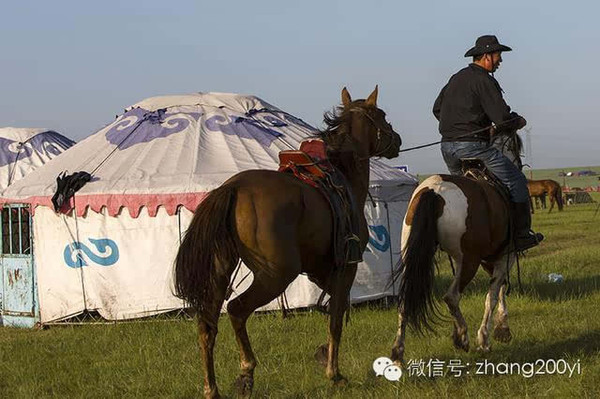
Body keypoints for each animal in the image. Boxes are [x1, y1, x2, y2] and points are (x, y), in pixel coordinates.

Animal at [178, 86, 404, 398]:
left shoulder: (320, 270)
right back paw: (246, 372)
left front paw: (323, 354)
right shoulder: (346, 267)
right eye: (381, 115)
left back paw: (211, 388)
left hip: (221, 270)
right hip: (276, 274)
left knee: (207, 322)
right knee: (236, 309)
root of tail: (232, 188)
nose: (397, 140)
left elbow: (332, 307)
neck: (344, 174)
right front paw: (334, 373)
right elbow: (336, 316)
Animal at [390, 130, 524, 366]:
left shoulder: (489, 258)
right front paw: (490, 335)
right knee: (451, 296)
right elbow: (494, 292)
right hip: (469, 261)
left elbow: (498, 289)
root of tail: (433, 190)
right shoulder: (504, 255)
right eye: (516, 145)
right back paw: (462, 337)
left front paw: (500, 330)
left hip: (414, 259)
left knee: (405, 300)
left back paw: (398, 353)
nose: (519, 164)